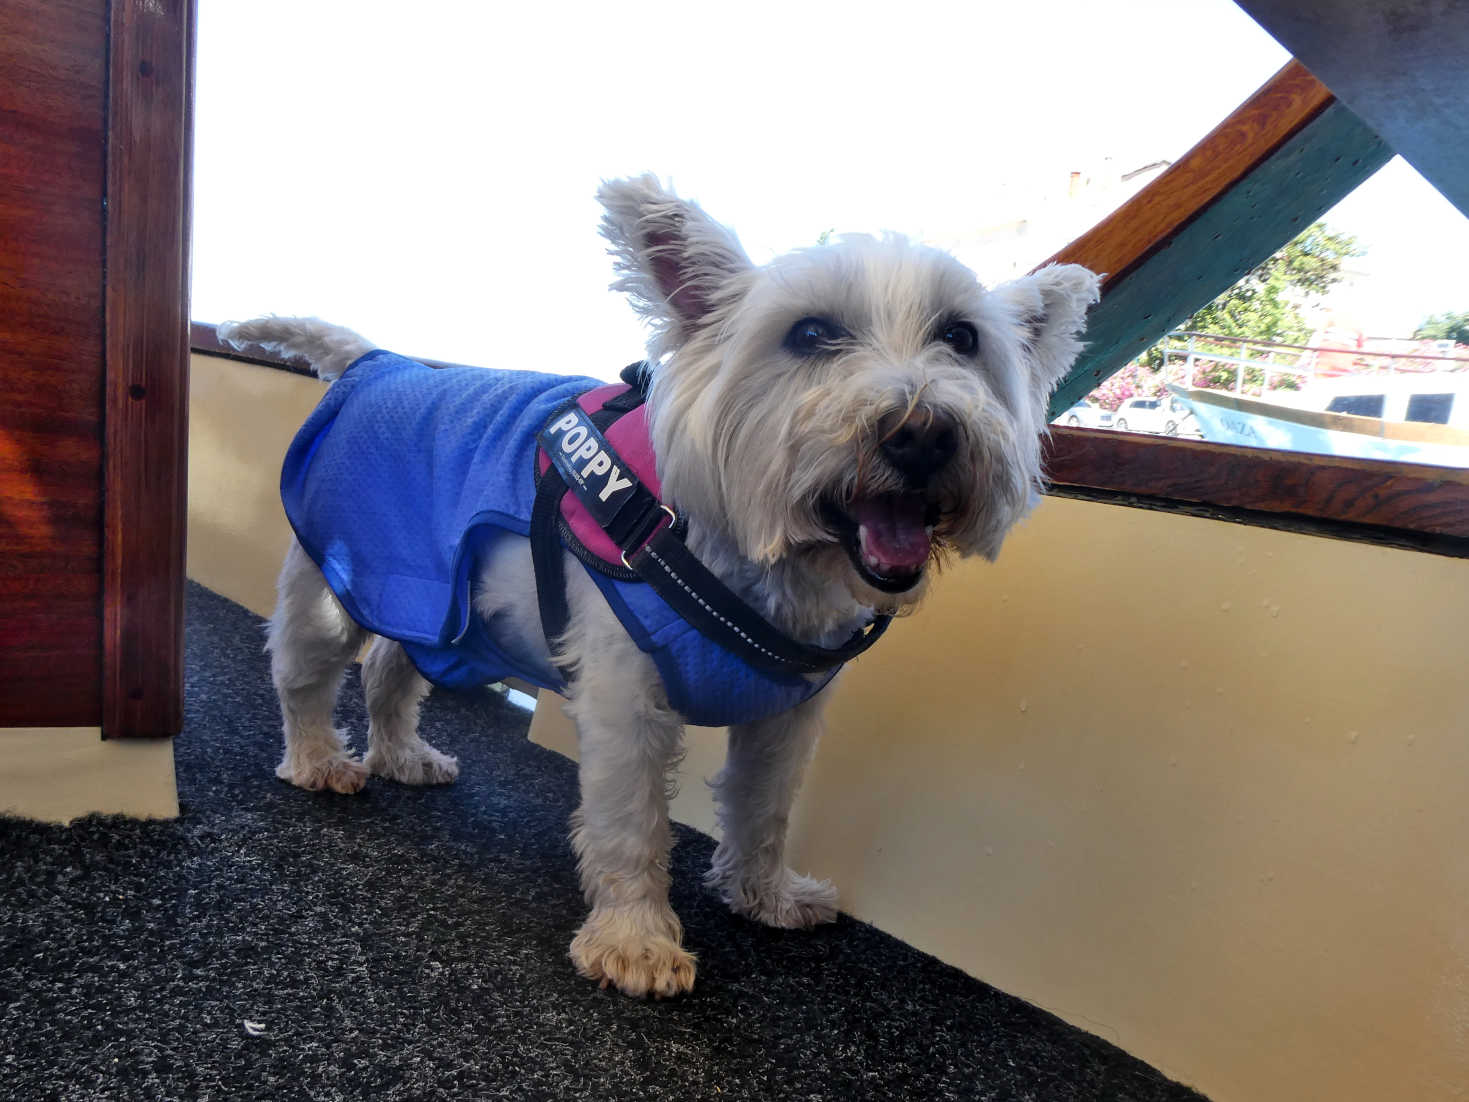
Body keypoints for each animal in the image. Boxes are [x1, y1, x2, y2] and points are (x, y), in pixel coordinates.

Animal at [220, 172, 1104, 999]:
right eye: (810, 333)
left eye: (961, 337)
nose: (922, 433)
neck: (748, 559)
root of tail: (375, 360)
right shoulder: (624, 699)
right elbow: (631, 822)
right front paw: (635, 944)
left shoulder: (787, 715)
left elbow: (763, 808)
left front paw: (765, 897)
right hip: (336, 584)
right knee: (305, 674)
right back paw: (319, 761)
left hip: (439, 598)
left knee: (391, 668)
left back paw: (403, 755)